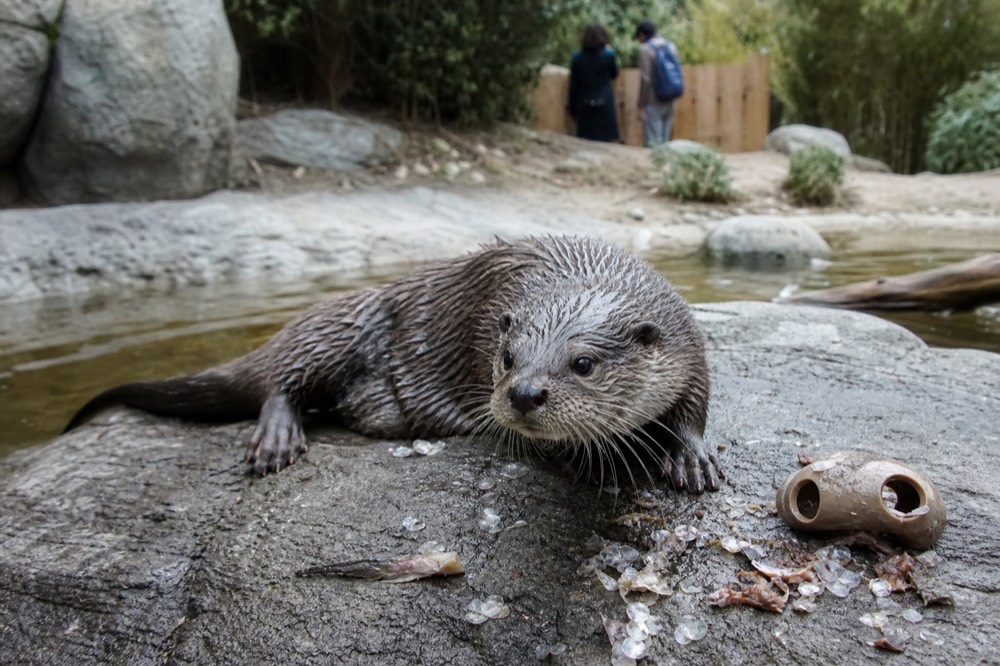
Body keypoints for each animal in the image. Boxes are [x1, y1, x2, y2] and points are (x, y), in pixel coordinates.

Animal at [64, 236, 723, 493]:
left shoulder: (689, 344)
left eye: (583, 363)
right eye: (507, 357)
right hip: (340, 324)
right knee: (281, 378)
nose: (523, 394)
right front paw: (586, 460)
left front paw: (691, 455)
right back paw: (277, 438)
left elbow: (695, 405)